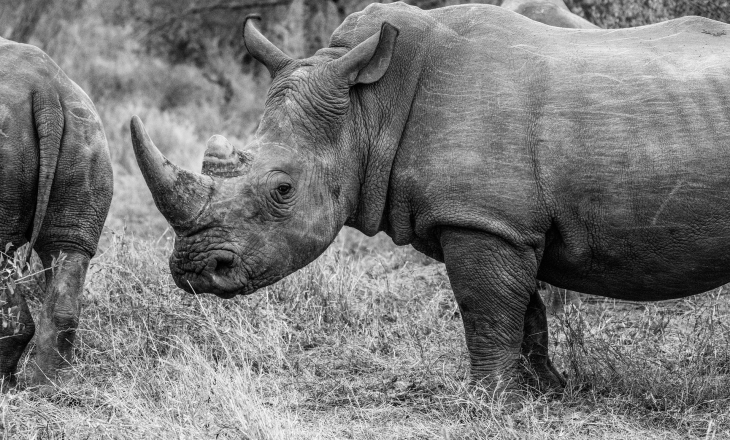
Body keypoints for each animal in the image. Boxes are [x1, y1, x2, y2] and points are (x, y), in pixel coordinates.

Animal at [131, 2, 730, 391]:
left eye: (282, 190)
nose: (195, 271)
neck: (368, 108)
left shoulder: (481, 219)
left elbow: (485, 308)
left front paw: (491, 399)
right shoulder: (502, 222)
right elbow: (525, 308)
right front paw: (547, 390)